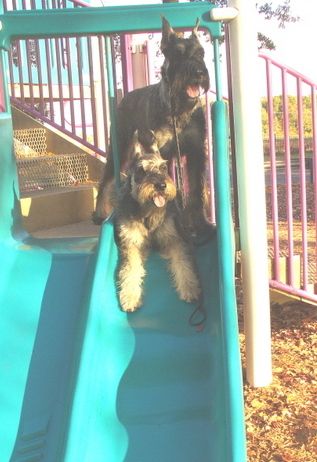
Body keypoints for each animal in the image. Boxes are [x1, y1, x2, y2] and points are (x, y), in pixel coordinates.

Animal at [94, 16, 212, 242]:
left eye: (201, 53)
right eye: (178, 53)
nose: (199, 73)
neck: (178, 110)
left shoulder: (195, 152)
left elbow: (195, 190)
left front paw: (201, 224)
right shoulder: (159, 150)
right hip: (119, 146)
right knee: (106, 179)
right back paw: (99, 214)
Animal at [113, 128, 200, 312]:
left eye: (164, 167)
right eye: (142, 170)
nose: (161, 186)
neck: (148, 212)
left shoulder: (173, 239)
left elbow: (183, 262)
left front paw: (190, 287)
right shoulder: (131, 244)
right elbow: (130, 269)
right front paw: (131, 297)